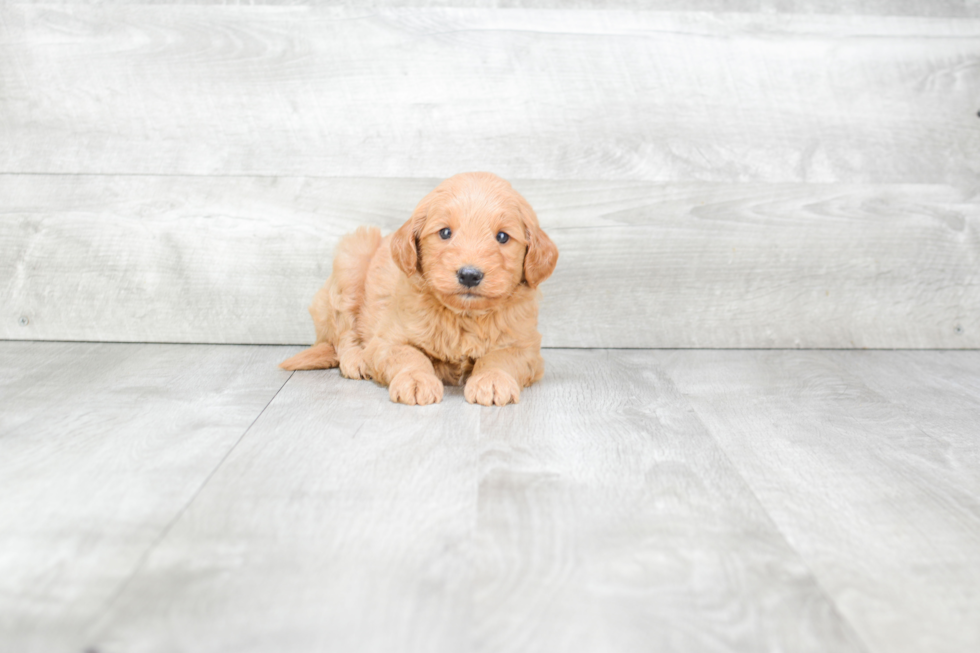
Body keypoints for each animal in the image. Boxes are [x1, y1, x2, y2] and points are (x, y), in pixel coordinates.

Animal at [280, 173, 564, 408]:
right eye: (445, 233)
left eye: (503, 237)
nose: (469, 275)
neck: (463, 317)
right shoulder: (387, 340)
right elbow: (409, 355)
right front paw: (415, 380)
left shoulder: (526, 347)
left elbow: (501, 357)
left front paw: (493, 379)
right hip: (352, 259)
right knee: (343, 330)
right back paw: (356, 359)